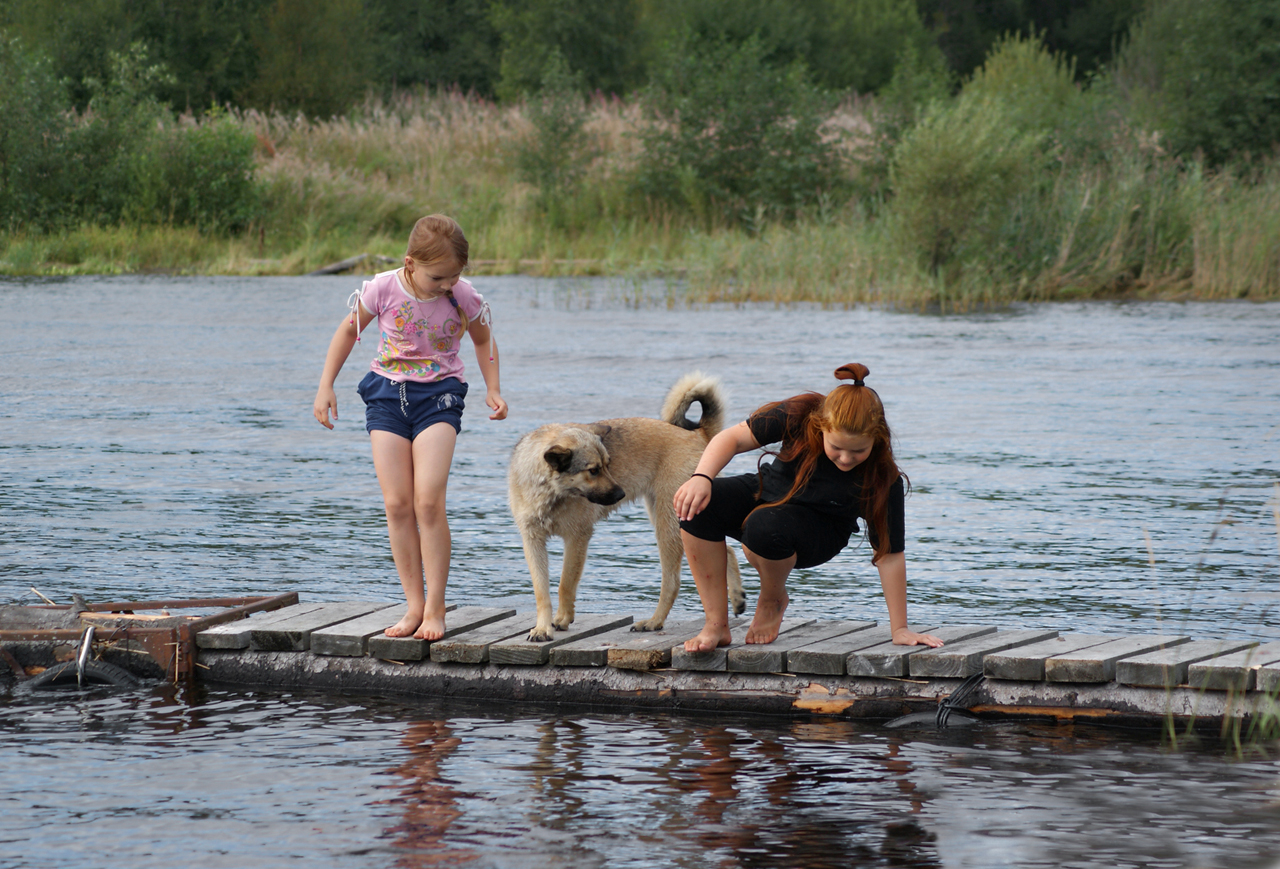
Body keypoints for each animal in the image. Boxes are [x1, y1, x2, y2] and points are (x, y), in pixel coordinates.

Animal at [509, 371, 747, 642]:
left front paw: (562, 619)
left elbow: (565, 583)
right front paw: (542, 628)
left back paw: (653, 622)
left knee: (672, 582)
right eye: (594, 470)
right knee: (726, 552)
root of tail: (699, 435)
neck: (550, 491)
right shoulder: (532, 541)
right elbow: (541, 591)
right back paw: (737, 597)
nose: (620, 493)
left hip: (669, 525)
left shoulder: (577, 538)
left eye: (608, 464)